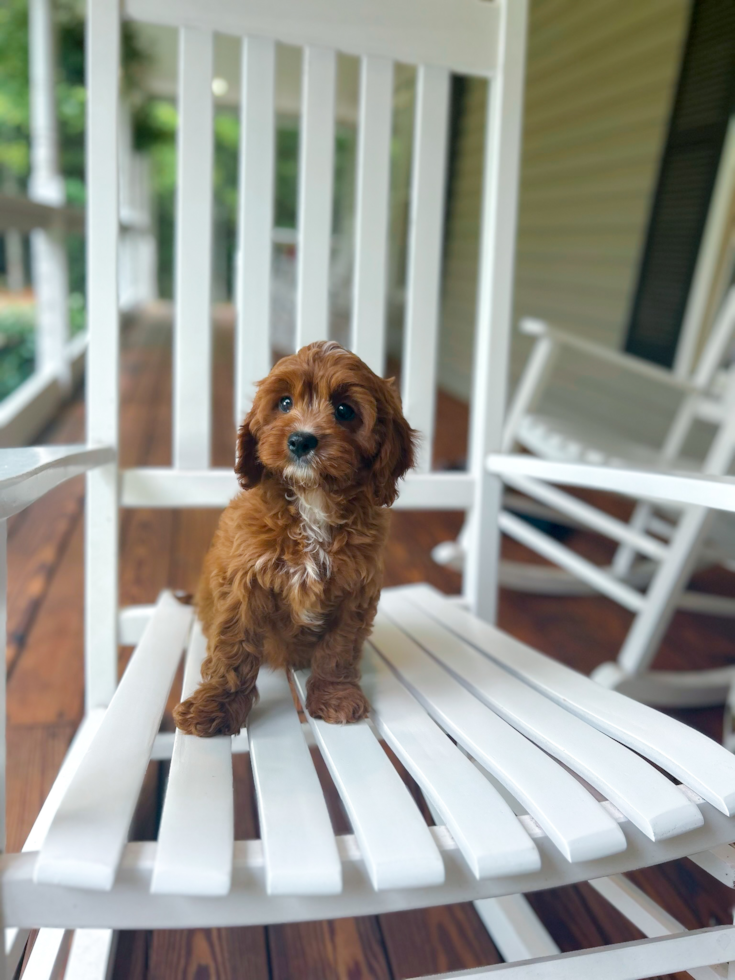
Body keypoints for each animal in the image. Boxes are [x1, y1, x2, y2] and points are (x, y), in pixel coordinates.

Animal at [171, 342, 414, 736]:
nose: (301, 439)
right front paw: (214, 706)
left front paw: (335, 696)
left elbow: (338, 648)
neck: (312, 499)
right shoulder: (244, 582)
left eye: (344, 410)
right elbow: (233, 647)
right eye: (285, 403)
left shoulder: (355, 591)